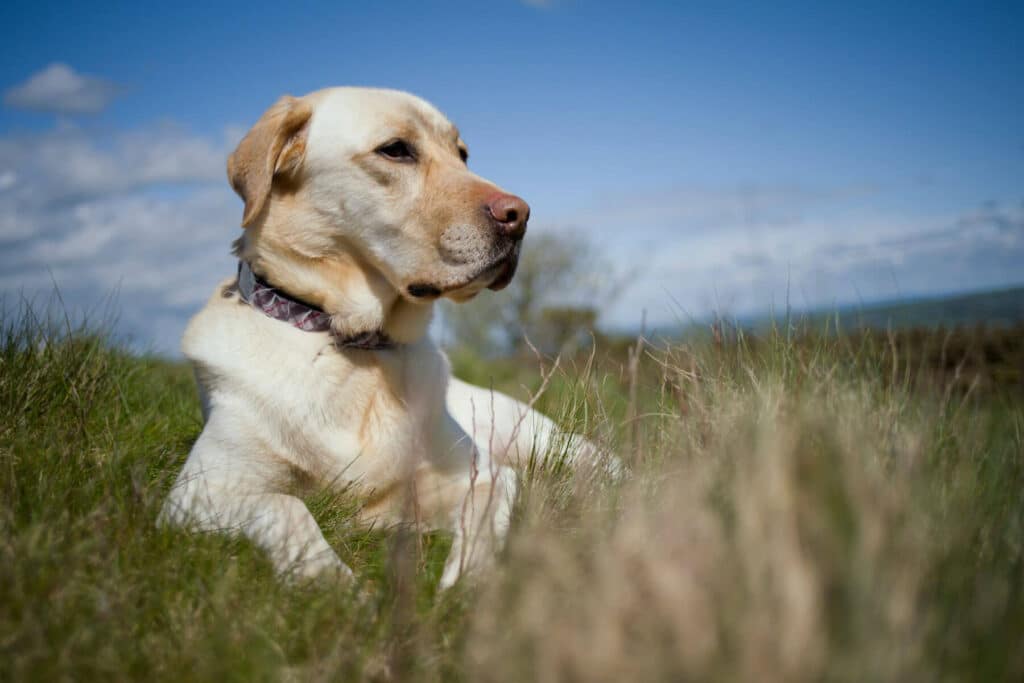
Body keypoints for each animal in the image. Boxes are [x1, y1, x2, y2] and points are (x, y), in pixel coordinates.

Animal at [160, 87, 598, 589]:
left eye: (462, 154)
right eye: (395, 150)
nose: (519, 214)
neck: (354, 344)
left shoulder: (483, 474)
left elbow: (485, 512)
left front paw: (466, 583)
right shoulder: (200, 490)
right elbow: (286, 506)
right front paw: (332, 585)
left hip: (539, 438)